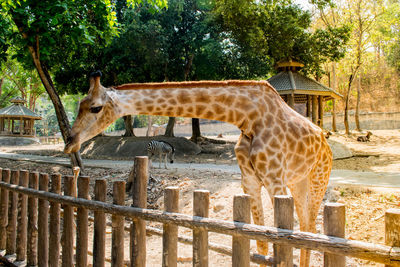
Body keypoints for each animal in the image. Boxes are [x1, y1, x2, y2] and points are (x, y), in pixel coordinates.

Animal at [65, 71, 332, 266]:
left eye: (95, 107)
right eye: (80, 104)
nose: (69, 141)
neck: (248, 118)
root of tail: (325, 142)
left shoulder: (275, 179)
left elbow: (279, 243)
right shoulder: (250, 180)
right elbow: (261, 243)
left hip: (318, 178)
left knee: (310, 225)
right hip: (298, 181)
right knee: (306, 225)